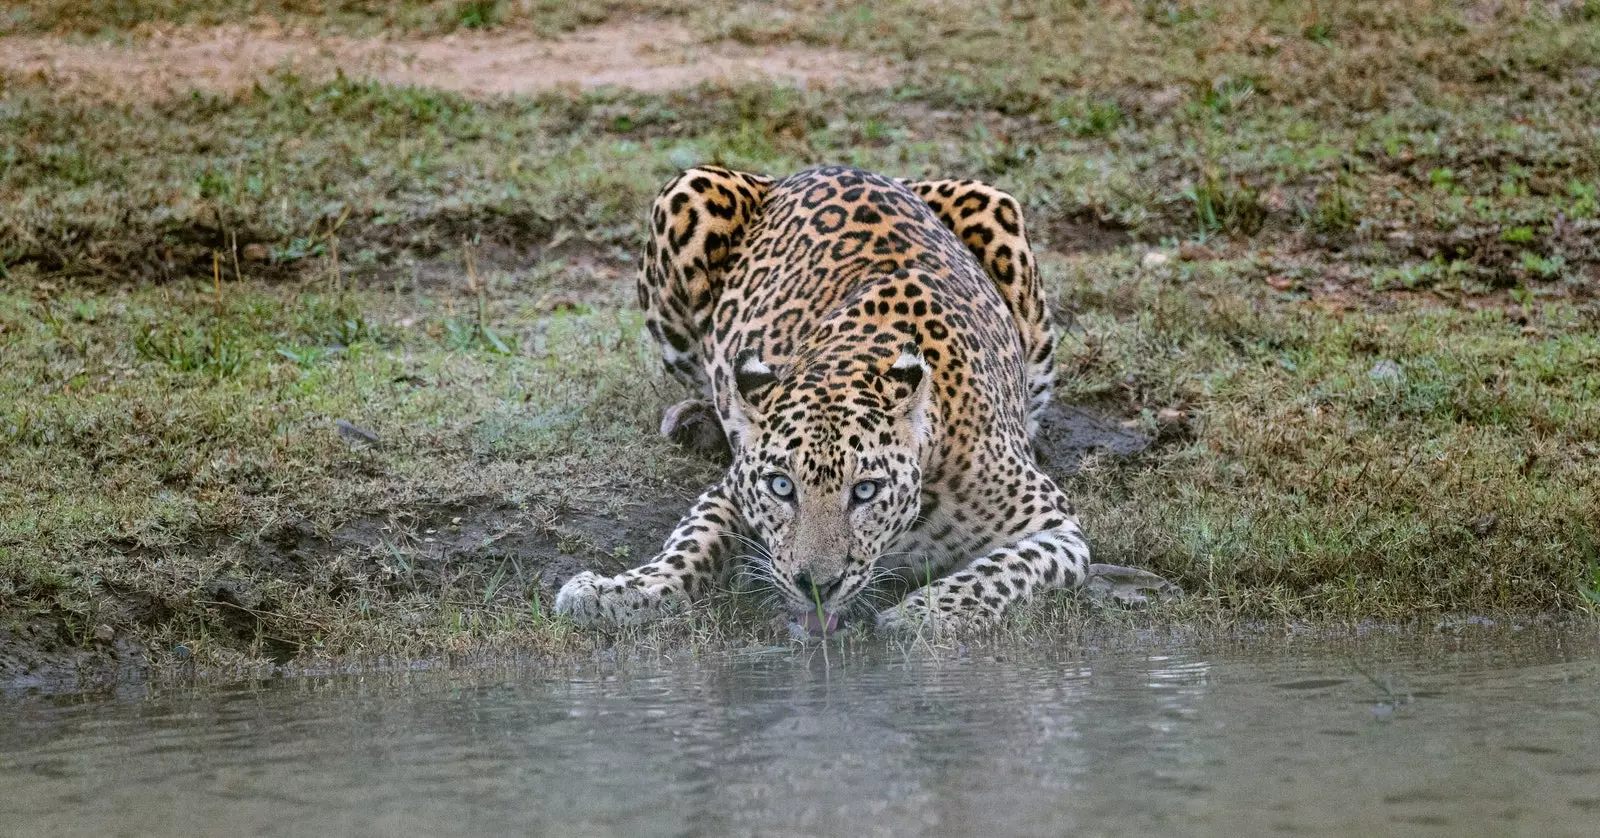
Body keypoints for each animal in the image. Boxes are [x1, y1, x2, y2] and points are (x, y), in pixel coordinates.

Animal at [556, 165, 1094, 636]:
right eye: (781, 487)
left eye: (866, 491)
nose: (816, 586)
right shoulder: (730, 490)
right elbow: (689, 545)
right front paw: (619, 592)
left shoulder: (1057, 529)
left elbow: (1005, 571)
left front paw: (921, 615)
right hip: (686, 196)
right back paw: (697, 420)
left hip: (999, 214)